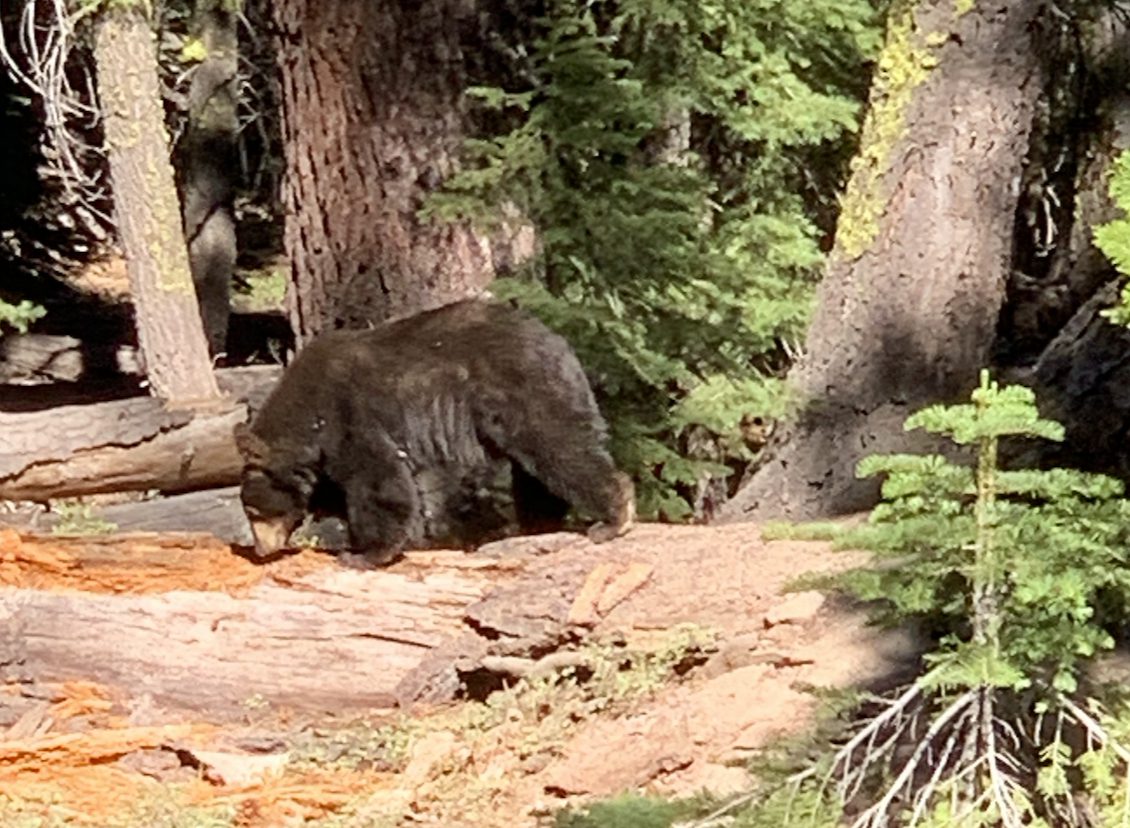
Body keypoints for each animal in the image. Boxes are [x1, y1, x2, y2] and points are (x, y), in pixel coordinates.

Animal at [235, 298, 637, 562]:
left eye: (252, 510)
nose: (261, 550)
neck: (308, 421)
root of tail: (559, 341)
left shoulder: (349, 418)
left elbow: (378, 481)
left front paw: (365, 553)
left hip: (522, 394)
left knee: (562, 447)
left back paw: (613, 518)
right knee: (536, 473)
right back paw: (539, 525)